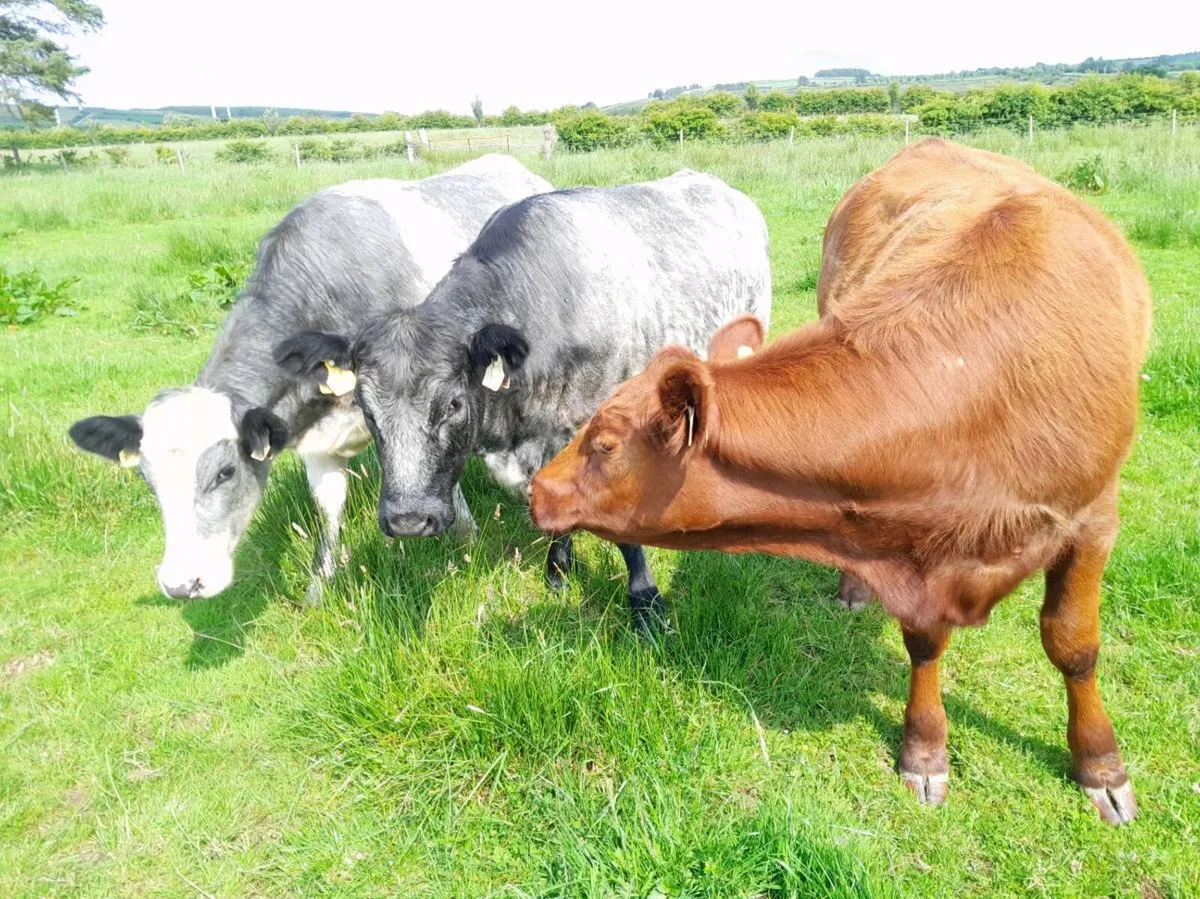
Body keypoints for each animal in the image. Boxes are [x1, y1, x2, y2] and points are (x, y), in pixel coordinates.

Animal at [68, 154, 553, 604]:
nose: (181, 584)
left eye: (225, 471)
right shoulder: (316, 439)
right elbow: (328, 507)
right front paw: (321, 585)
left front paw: (467, 535)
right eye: (147, 478)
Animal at [529, 138, 1151, 824]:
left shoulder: (1093, 520)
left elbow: (1073, 644)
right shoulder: (914, 544)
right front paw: (925, 751)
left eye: (606, 443)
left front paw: (1101, 765)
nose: (536, 486)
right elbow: (925, 644)